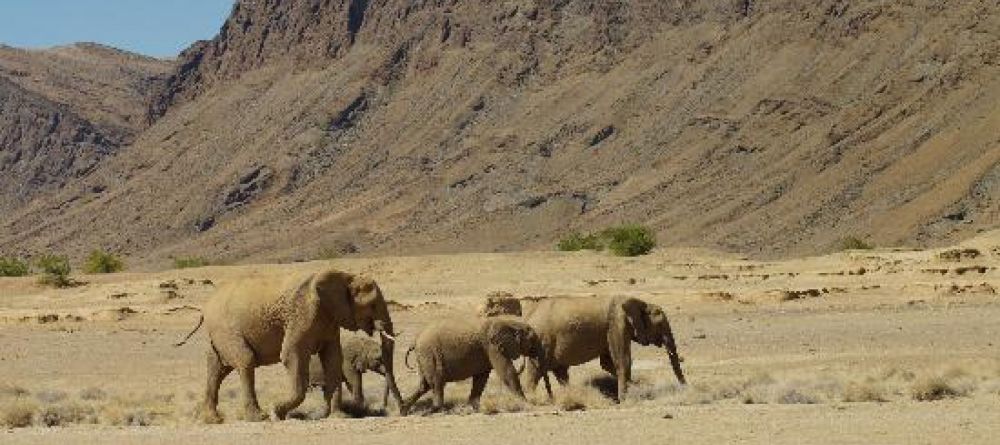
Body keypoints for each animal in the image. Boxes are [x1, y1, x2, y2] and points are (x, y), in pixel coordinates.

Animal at [174, 270, 404, 423]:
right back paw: (259, 417)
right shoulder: (302, 314)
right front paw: (277, 412)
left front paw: (339, 416)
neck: (345, 276)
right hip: (226, 330)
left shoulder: (329, 320)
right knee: (245, 361)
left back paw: (213, 420)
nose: (401, 411)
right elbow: (292, 355)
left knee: (217, 369)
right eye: (372, 305)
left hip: (219, 335)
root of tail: (205, 307)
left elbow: (333, 359)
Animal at [401, 316, 553, 413]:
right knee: (436, 381)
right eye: (533, 340)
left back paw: (404, 409)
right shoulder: (492, 346)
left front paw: (474, 407)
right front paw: (525, 403)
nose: (552, 400)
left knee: (425, 385)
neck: (511, 323)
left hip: (424, 357)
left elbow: (481, 378)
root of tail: (414, 341)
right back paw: (438, 410)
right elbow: (507, 371)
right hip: (430, 354)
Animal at [484, 296, 686, 402]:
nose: (685, 387)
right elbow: (622, 360)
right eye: (660, 323)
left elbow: (608, 363)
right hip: (540, 341)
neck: (637, 300)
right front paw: (625, 399)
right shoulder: (616, 325)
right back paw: (534, 398)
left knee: (560, 372)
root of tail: (527, 318)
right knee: (536, 372)